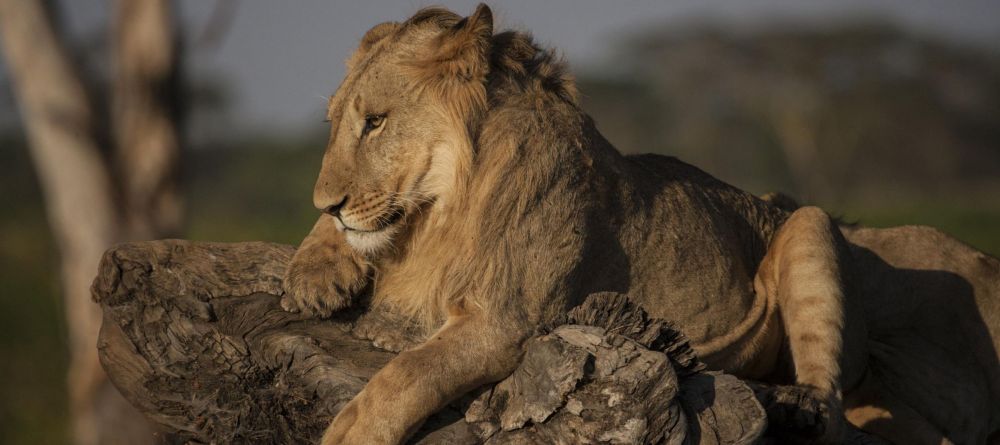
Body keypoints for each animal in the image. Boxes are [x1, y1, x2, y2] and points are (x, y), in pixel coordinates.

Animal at [280, 4, 1000, 444]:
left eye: (376, 122)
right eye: (336, 122)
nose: (324, 201)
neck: (441, 208)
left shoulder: (505, 320)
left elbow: (408, 375)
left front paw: (348, 431)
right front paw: (315, 271)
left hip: (807, 222)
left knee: (834, 405)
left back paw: (800, 406)